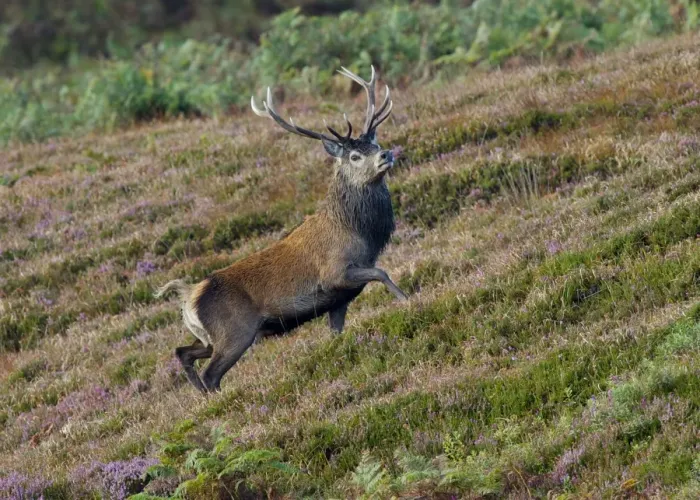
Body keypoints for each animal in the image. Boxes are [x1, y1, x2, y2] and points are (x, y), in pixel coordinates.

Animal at [155, 66, 407, 393]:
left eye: (374, 144)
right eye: (354, 155)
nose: (386, 154)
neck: (360, 236)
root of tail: (188, 296)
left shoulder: (339, 300)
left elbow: (337, 332)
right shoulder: (335, 274)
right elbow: (382, 272)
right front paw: (407, 301)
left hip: (210, 338)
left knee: (183, 352)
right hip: (235, 333)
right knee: (211, 373)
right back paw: (219, 398)